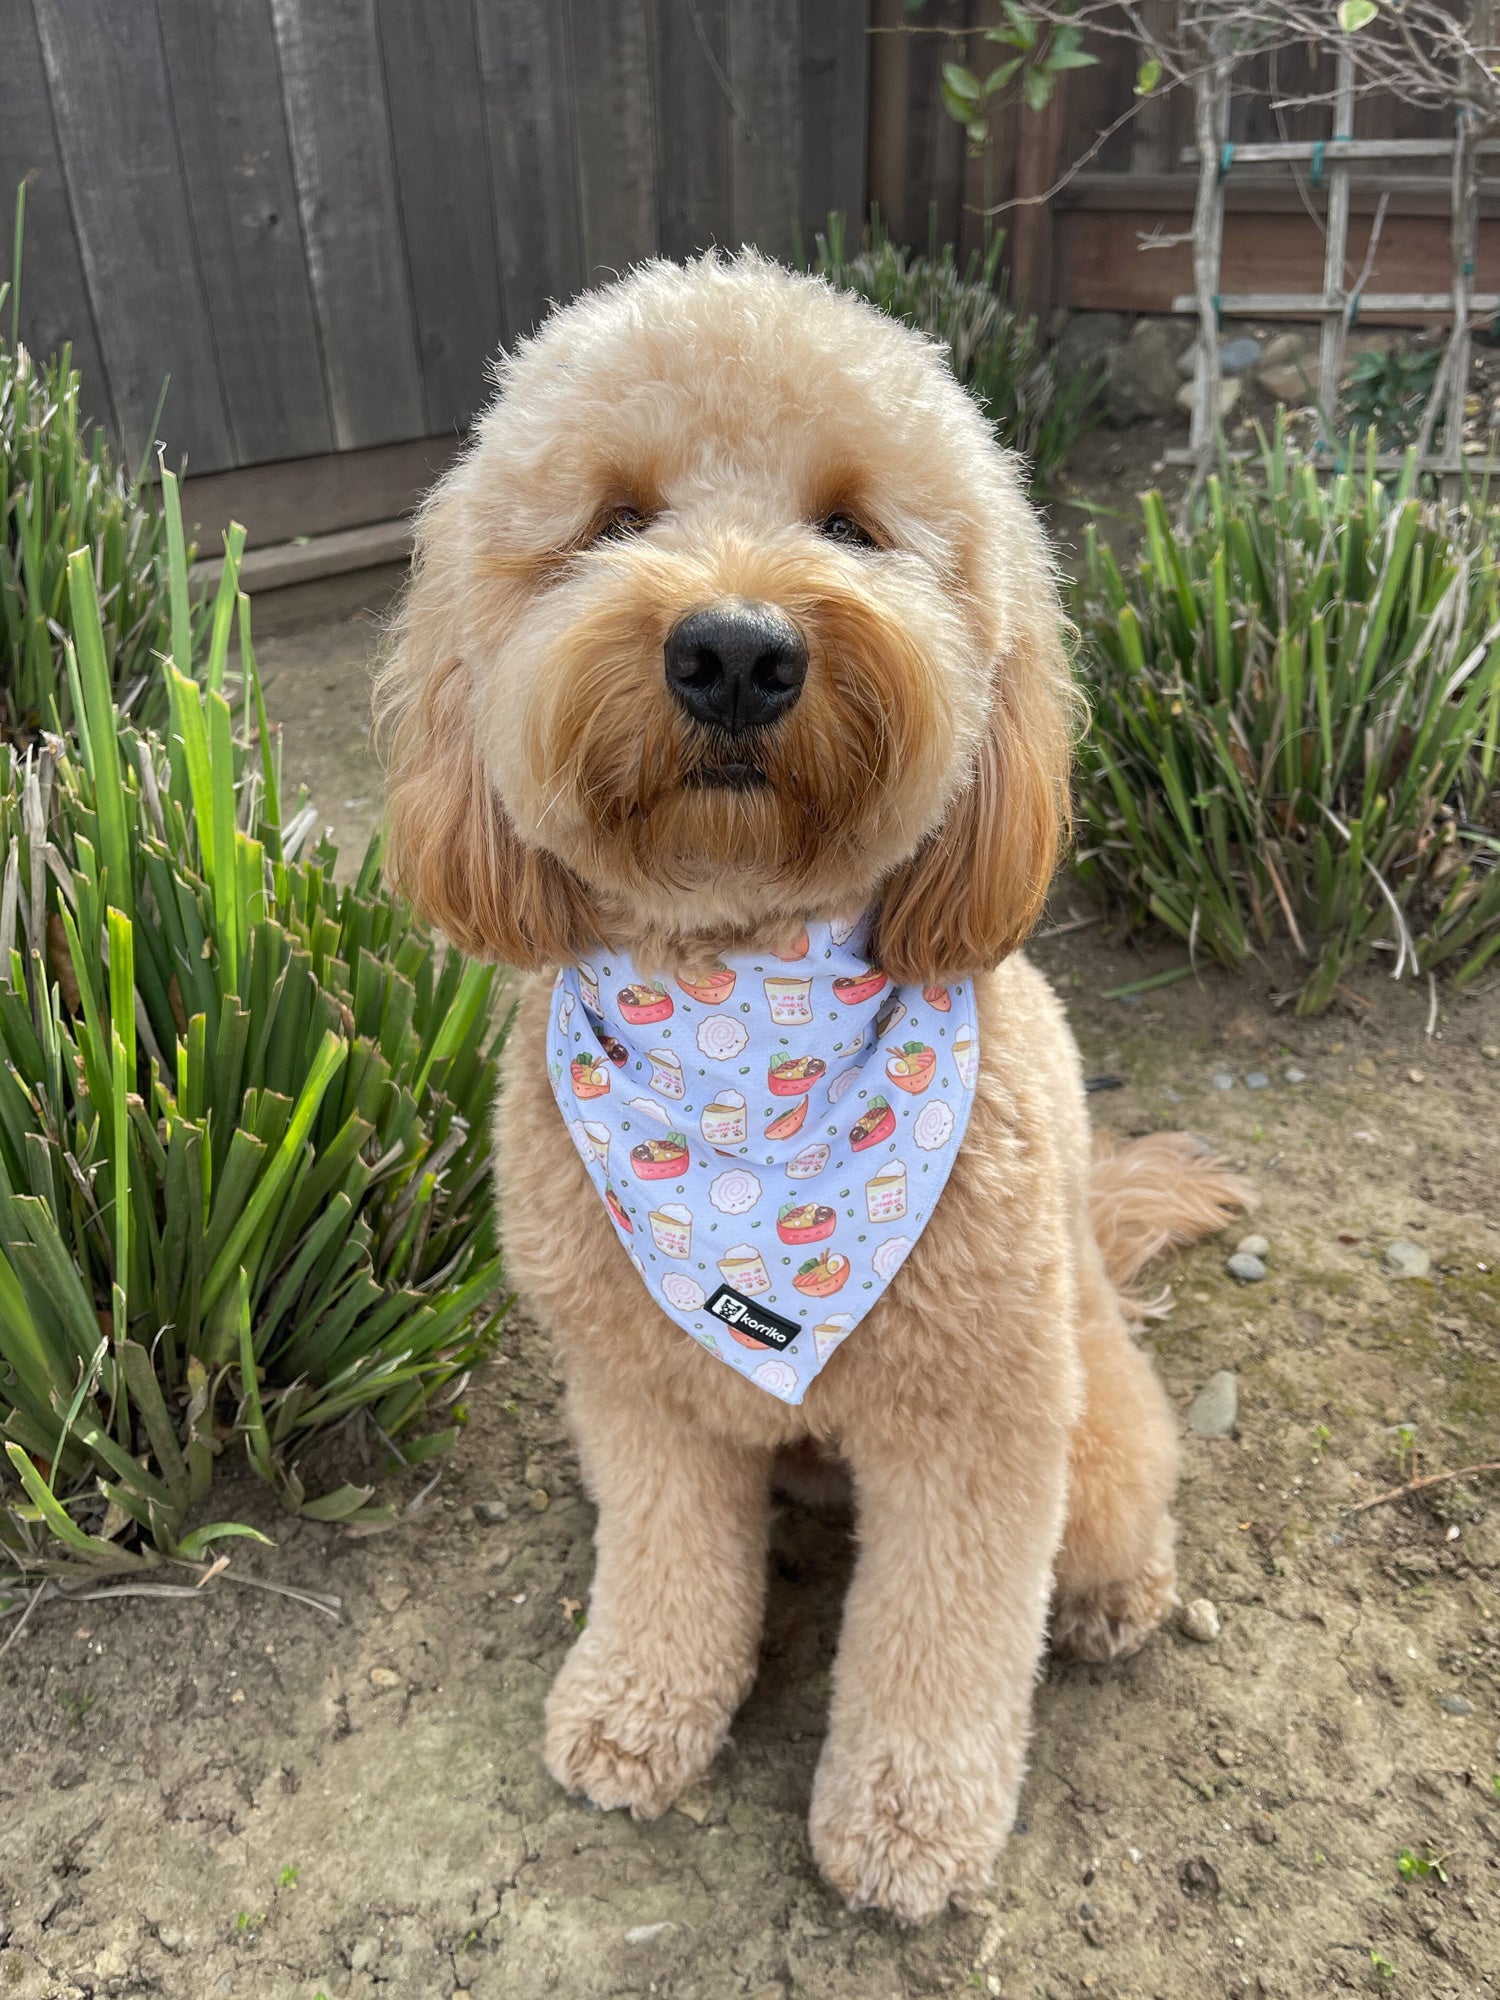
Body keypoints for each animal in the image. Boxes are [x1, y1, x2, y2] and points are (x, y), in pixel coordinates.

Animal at [376, 250, 1248, 1920]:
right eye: (615, 518)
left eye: (851, 525)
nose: (734, 650)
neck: (740, 1032)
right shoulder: (646, 1393)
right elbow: (666, 1567)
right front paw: (638, 1712)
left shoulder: (978, 1422)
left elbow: (944, 1641)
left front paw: (909, 1826)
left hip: (1090, 1426)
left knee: (1130, 1513)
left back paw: (1122, 1604)